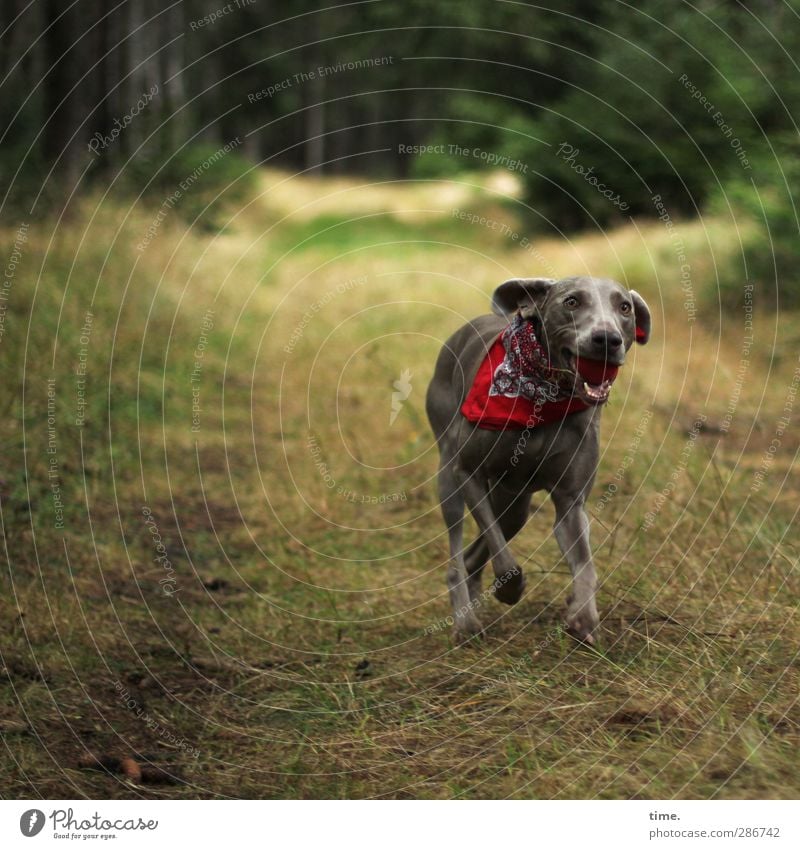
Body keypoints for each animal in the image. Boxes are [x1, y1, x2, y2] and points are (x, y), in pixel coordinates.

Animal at [424, 276, 648, 644]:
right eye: (572, 302)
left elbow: (585, 564)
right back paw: (465, 622)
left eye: (624, 307)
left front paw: (582, 617)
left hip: (514, 504)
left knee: (475, 554)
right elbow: (504, 556)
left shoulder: (571, 502)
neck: (544, 394)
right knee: (457, 554)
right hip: (450, 477)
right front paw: (511, 589)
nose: (607, 339)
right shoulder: (468, 472)